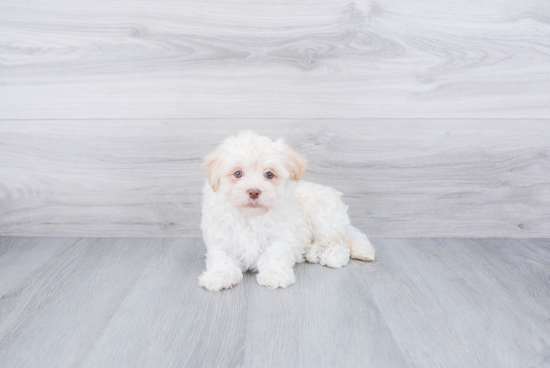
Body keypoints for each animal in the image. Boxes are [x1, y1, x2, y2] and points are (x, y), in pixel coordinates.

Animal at [201, 131, 378, 292]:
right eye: (238, 173)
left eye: (269, 174)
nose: (253, 191)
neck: (252, 216)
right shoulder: (222, 237)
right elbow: (222, 257)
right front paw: (218, 276)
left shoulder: (281, 235)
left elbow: (274, 254)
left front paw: (274, 275)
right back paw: (312, 253)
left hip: (323, 218)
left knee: (338, 243)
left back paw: (332, 256)